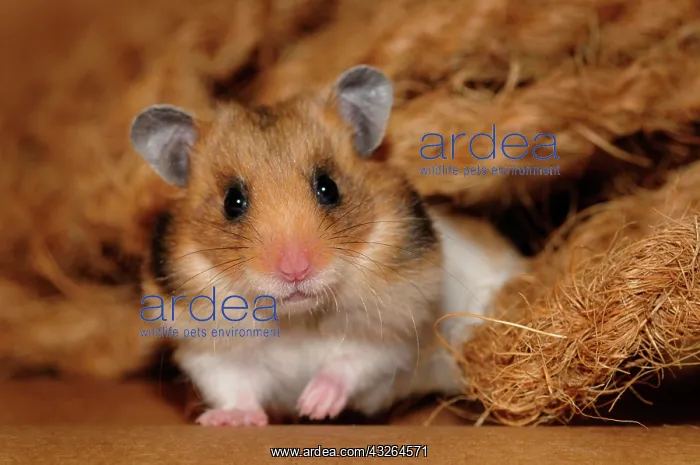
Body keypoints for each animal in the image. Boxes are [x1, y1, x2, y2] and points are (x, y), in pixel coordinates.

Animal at [129, 65, 524, 426]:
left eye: (329, 187)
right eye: (232, 202)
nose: (295, 271)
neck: (298, 317)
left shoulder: (391, 335)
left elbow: (350, 363)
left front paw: (313, 406)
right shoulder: (208, 349)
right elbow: (234, 387)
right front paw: (229, 420)